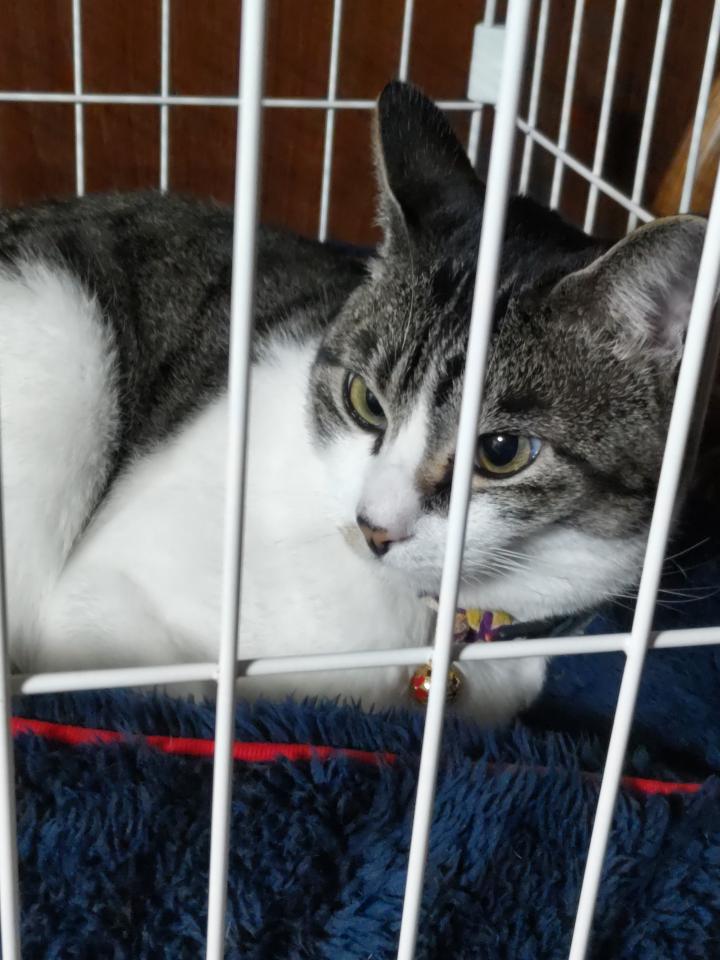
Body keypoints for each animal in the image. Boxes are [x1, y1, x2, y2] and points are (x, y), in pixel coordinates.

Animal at [0, 81, 706, 724]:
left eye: (502, 451)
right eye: (366, 399)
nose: (375, 526)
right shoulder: (99, 603)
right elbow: (177, 689)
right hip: (63, 339)